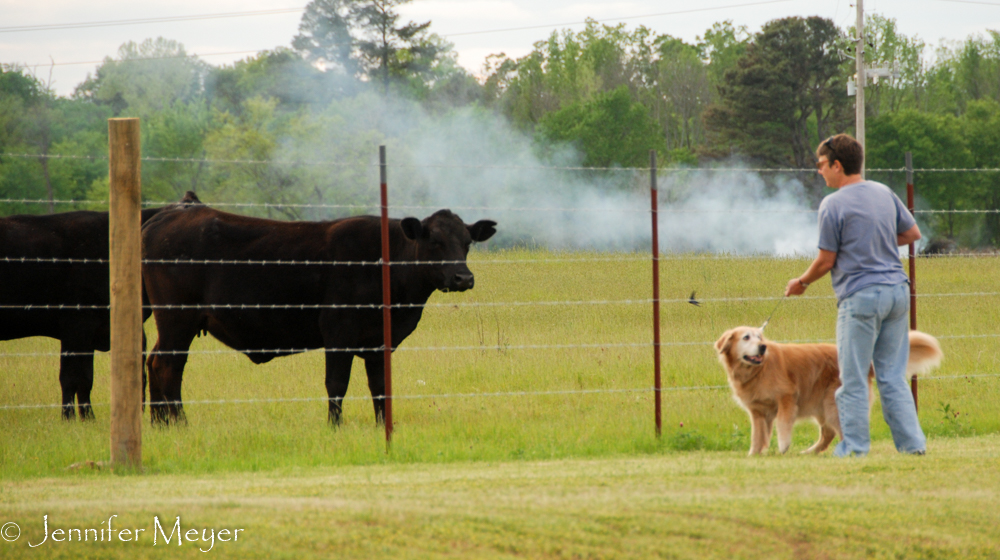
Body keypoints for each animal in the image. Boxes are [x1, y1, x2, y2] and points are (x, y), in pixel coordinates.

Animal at [0, 203, 164, 418]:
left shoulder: (91, 333)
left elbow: (86, 379)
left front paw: (87, 418)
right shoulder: (76, 326)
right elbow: (71, 377)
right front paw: (68, 418)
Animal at [142, 199, 496, 422]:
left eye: (467, 242)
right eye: (435, 241)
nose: (463, 277)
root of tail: (169, 215)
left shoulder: (378, 342)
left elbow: (381, 388)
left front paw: (383, 427)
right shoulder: (338, 332)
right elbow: (336, 384)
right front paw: (334, 427)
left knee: (153, 361)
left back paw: (160, 424)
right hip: (177, 319)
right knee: (167, 366)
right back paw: (181, 423)